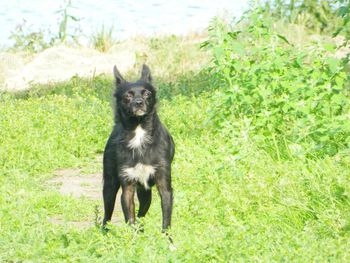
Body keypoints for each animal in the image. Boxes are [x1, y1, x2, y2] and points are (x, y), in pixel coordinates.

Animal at [102, 64, 175, 231]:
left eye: (147, 93)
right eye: (127, 96)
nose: (139, 102)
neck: (138, 131)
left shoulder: (165, 187)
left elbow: (166, 222)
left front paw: (167, 239)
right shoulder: (127, 188)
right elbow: (130, 219)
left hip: (145, 192)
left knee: (141, 214)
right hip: (109, 186)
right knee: (107, 215)